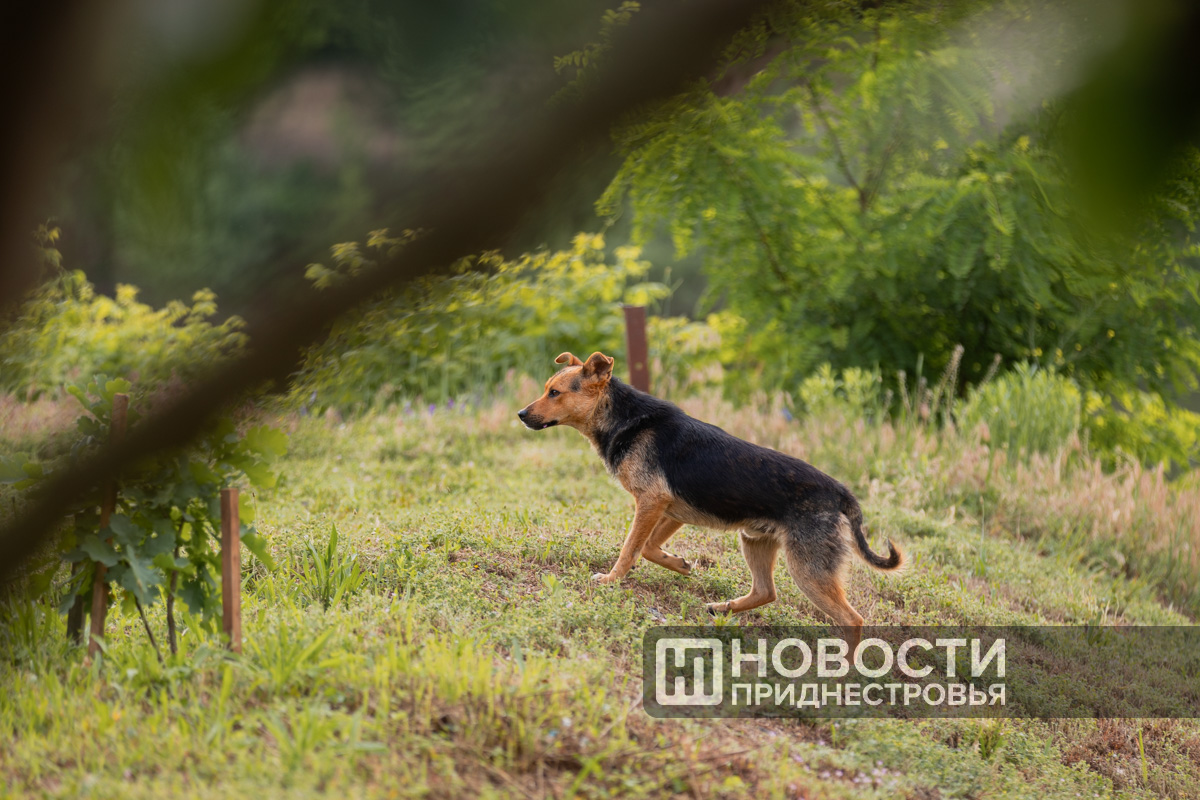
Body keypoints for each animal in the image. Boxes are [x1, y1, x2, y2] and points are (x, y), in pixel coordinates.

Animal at [518, 351, 903, 648]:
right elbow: (648, 548)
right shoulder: (670, 510)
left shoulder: (650, 503)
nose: (521, 415)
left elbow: (630, 549)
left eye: (554, 393)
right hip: (754, 541)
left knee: (852, 620)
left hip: (808, 570)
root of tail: (840, 493)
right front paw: (679, 564)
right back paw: (722, 608)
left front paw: (611, 580)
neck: (625, 418)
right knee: (767, 592)